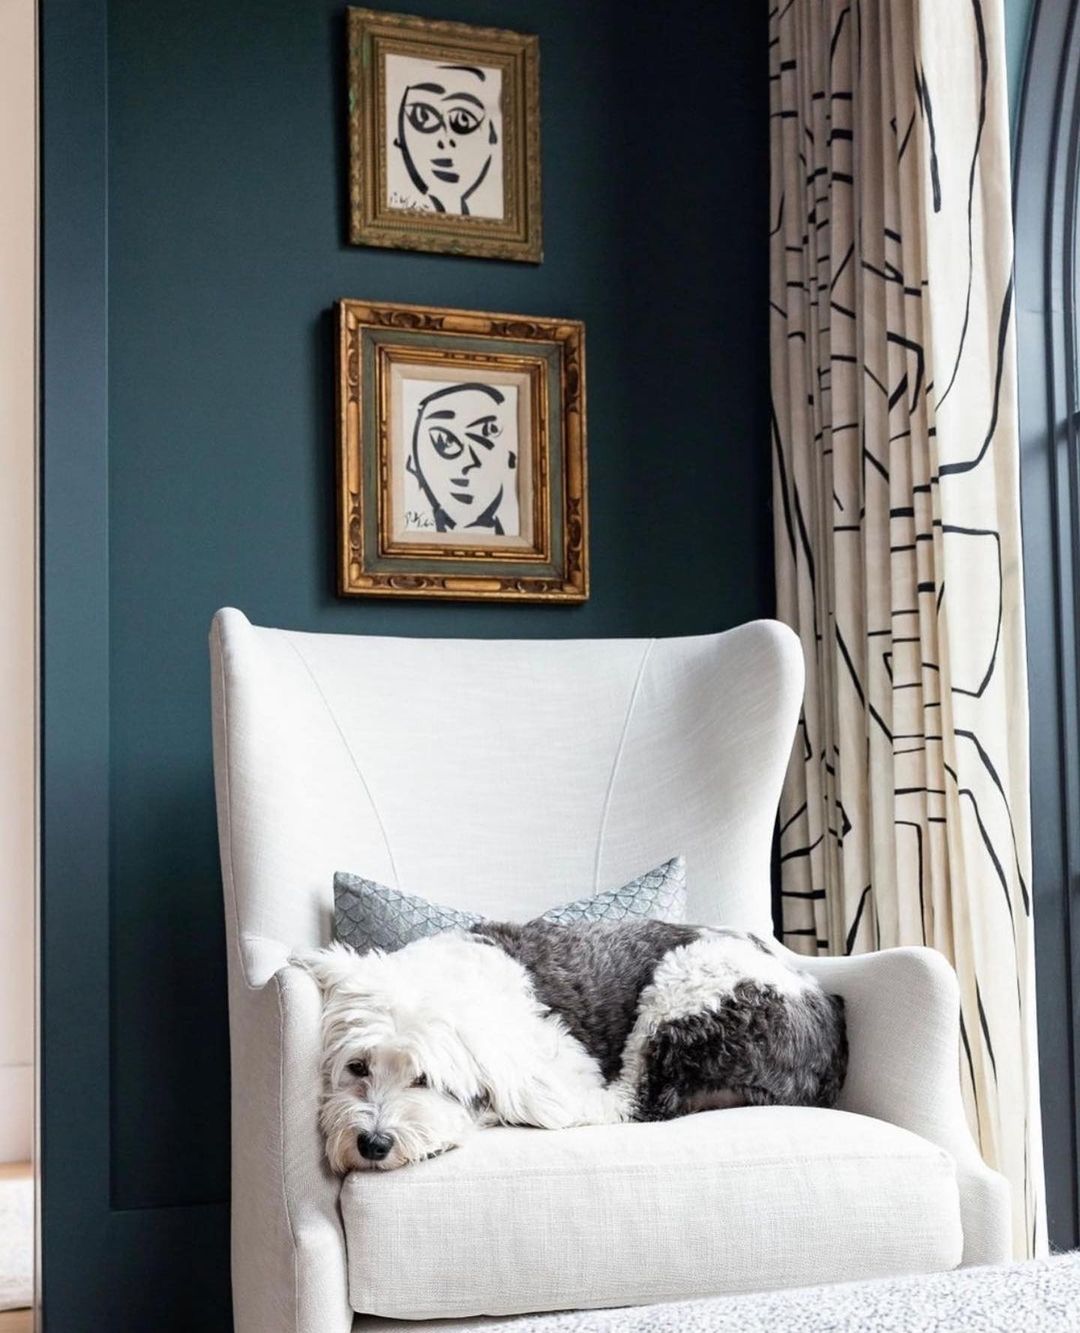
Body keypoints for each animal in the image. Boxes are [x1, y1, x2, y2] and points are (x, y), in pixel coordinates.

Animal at [297, 919, 848, 1174]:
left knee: (633, 1102)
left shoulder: (557, 1072)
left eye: (425, 1079)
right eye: (357, 1067)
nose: (373, 1143)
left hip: (686, 985)